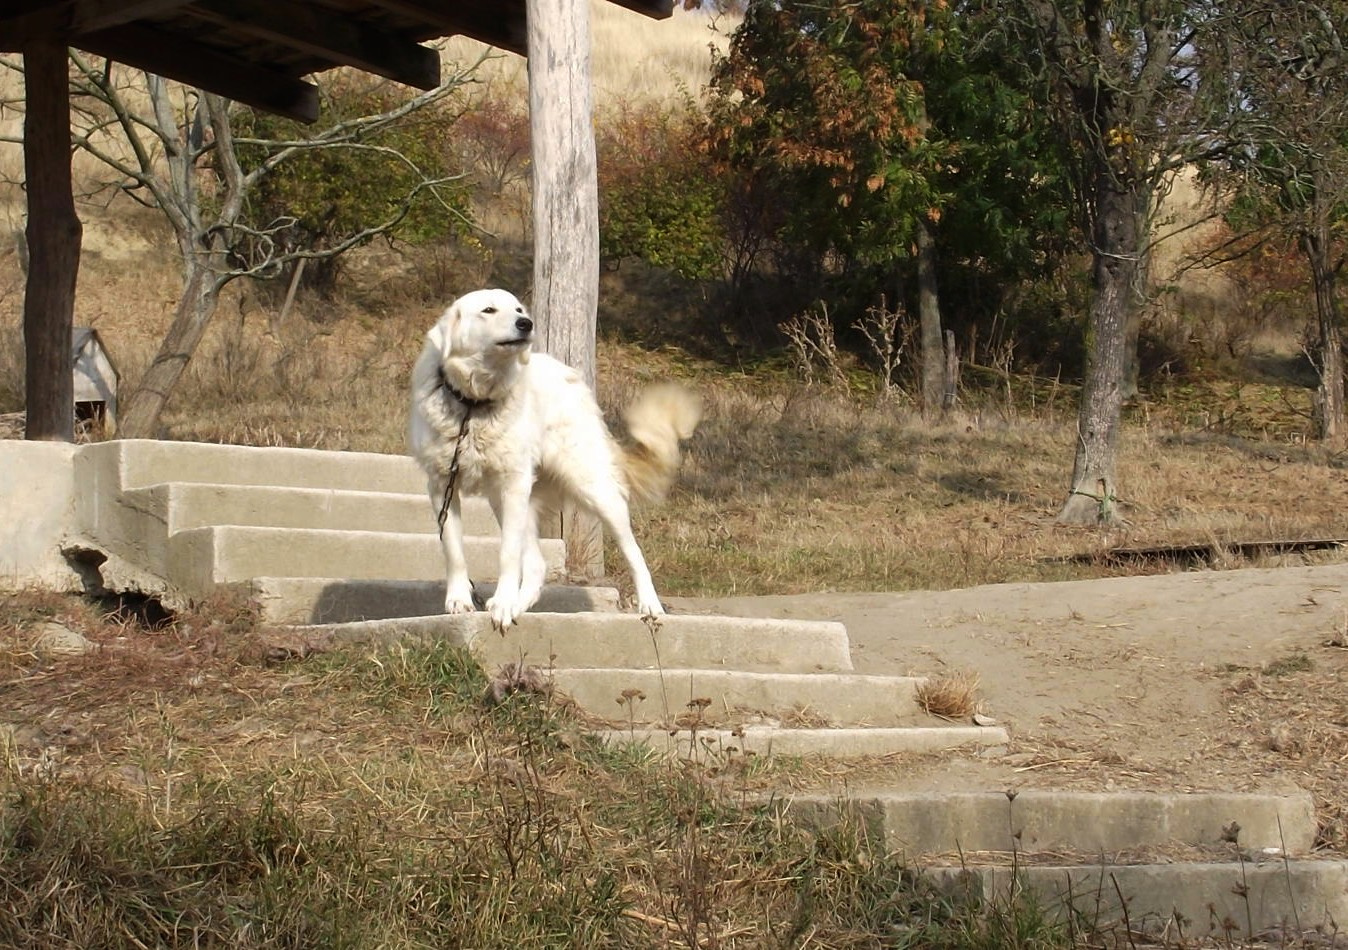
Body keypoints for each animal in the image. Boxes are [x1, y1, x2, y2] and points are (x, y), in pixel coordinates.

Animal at [404, 288, 700, 630]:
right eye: (488, 310)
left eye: (519, 309)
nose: (526, 324)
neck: (474, 403)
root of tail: (569, 373)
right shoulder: (442, 485)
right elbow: (453, 550)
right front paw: (460, 601)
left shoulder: (513, 484)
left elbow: (507, 554)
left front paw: (502, 604)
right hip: (506, 498)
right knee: (536, 566)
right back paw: (517, 605)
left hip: (591, 489)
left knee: (632, 550)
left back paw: (650, 604)